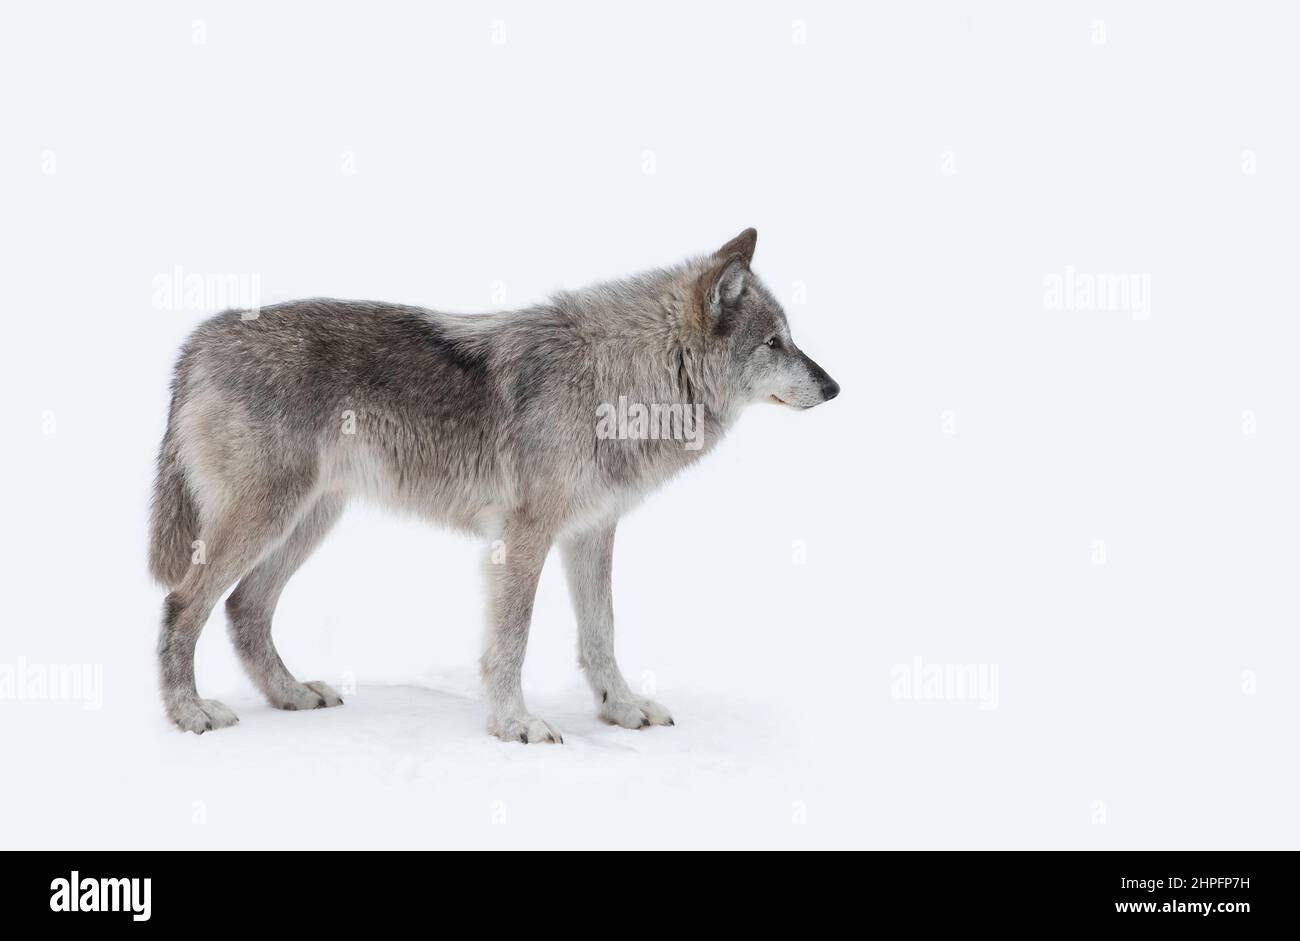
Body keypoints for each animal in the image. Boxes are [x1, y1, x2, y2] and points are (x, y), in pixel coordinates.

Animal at [148, 229, 839, 743]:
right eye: (774, 343)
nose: (834, 387)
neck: (617, 380)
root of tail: (198, 341)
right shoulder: (523, 536)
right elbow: (512, 641)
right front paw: (515, 725)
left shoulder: (592, 532)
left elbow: (602, 633)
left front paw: (621, 709)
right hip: (270, 518)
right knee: (184, 604)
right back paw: (190, 713)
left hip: (309, 520)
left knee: (245, 607)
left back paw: (291, 694)